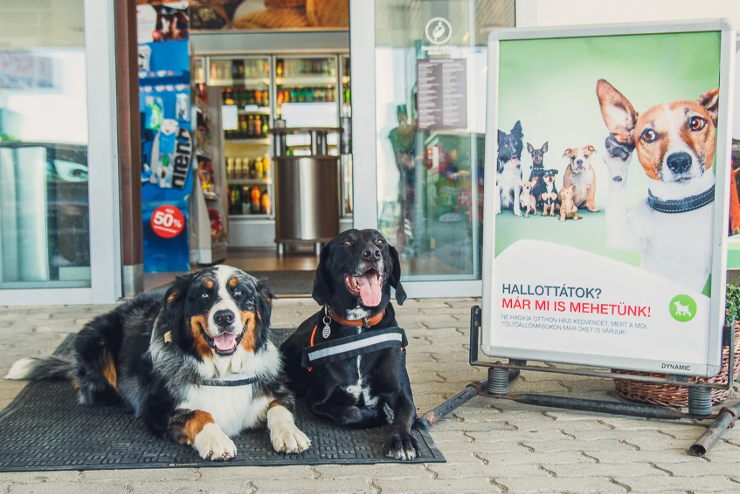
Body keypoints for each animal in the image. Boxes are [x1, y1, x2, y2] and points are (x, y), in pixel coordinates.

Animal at [3, 264, 310, 462]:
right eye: (204, 295)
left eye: (240, 294)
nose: (224, 317)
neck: (222, 370)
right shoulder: (156, 408)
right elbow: (199, 413)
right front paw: (216, 439)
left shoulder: (276, 389)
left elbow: (279, 409)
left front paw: (290, 434)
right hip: (96, 338)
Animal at [278, 230, 420, 462]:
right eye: (346, 242)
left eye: (380, 241)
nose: (372, 253)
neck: (359, 325)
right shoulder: (316, 400)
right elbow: (350, 412)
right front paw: (376, 415)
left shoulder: (402, 395)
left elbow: (403, 417)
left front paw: (402, 440)